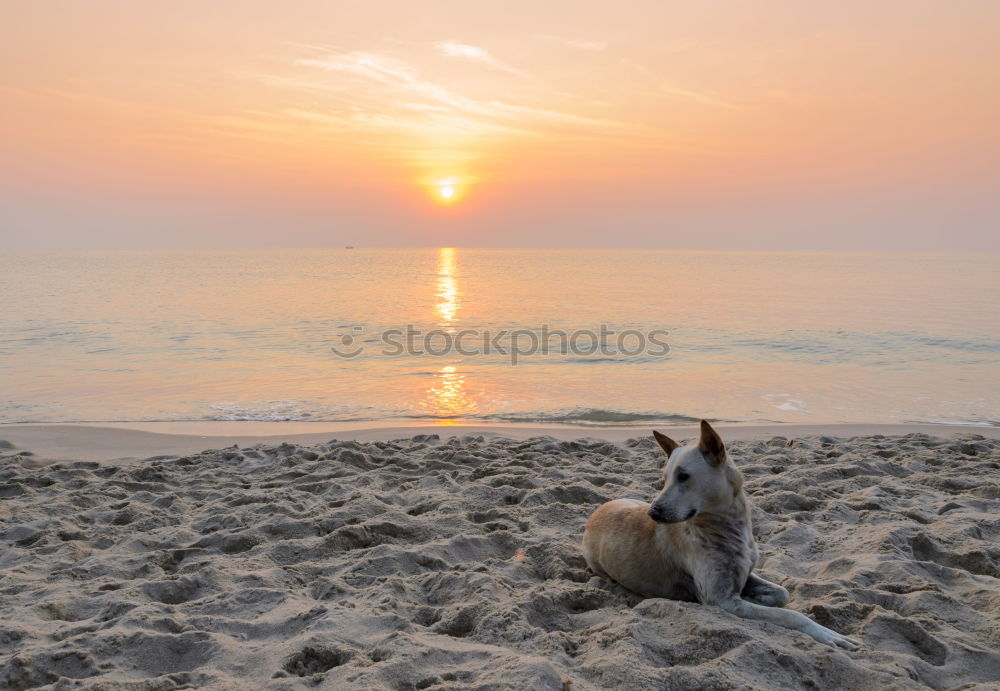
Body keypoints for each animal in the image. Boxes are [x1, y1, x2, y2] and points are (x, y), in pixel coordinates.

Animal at [584, 418, 860, 652]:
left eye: (683, 476)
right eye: (664, 478)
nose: (653, 513)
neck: (729, 526)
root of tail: (595, 513)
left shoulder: (744, 574)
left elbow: (783, 593)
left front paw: (762, 597)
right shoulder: (721, 600)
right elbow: (789, 614)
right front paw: (824, 632)